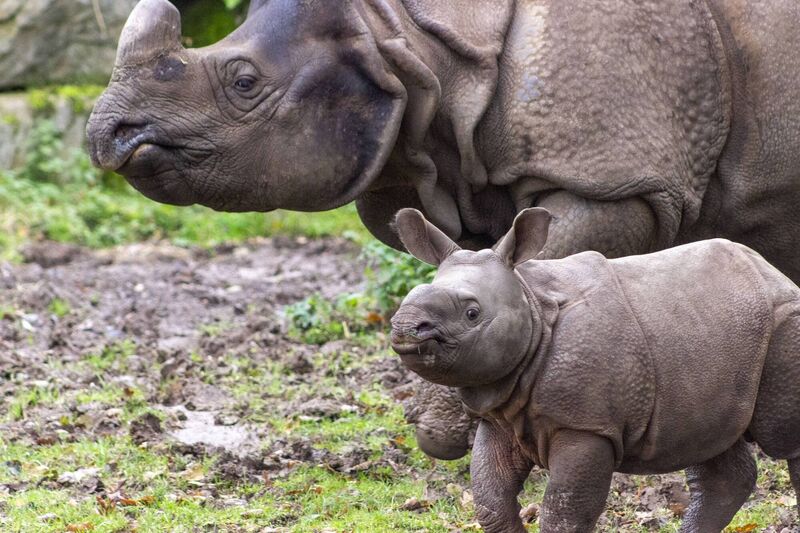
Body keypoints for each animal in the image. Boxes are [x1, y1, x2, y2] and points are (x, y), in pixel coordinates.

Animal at [391, 207, 800, 533]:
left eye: (472, 313)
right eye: (410, 297)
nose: (405, 326)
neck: (531, 303)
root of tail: (775, 274)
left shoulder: (587, 425)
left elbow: (564, 512)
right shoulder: (499, 413)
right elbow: (491, 501)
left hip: (785, 319)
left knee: (782, 438)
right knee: (709, 440)